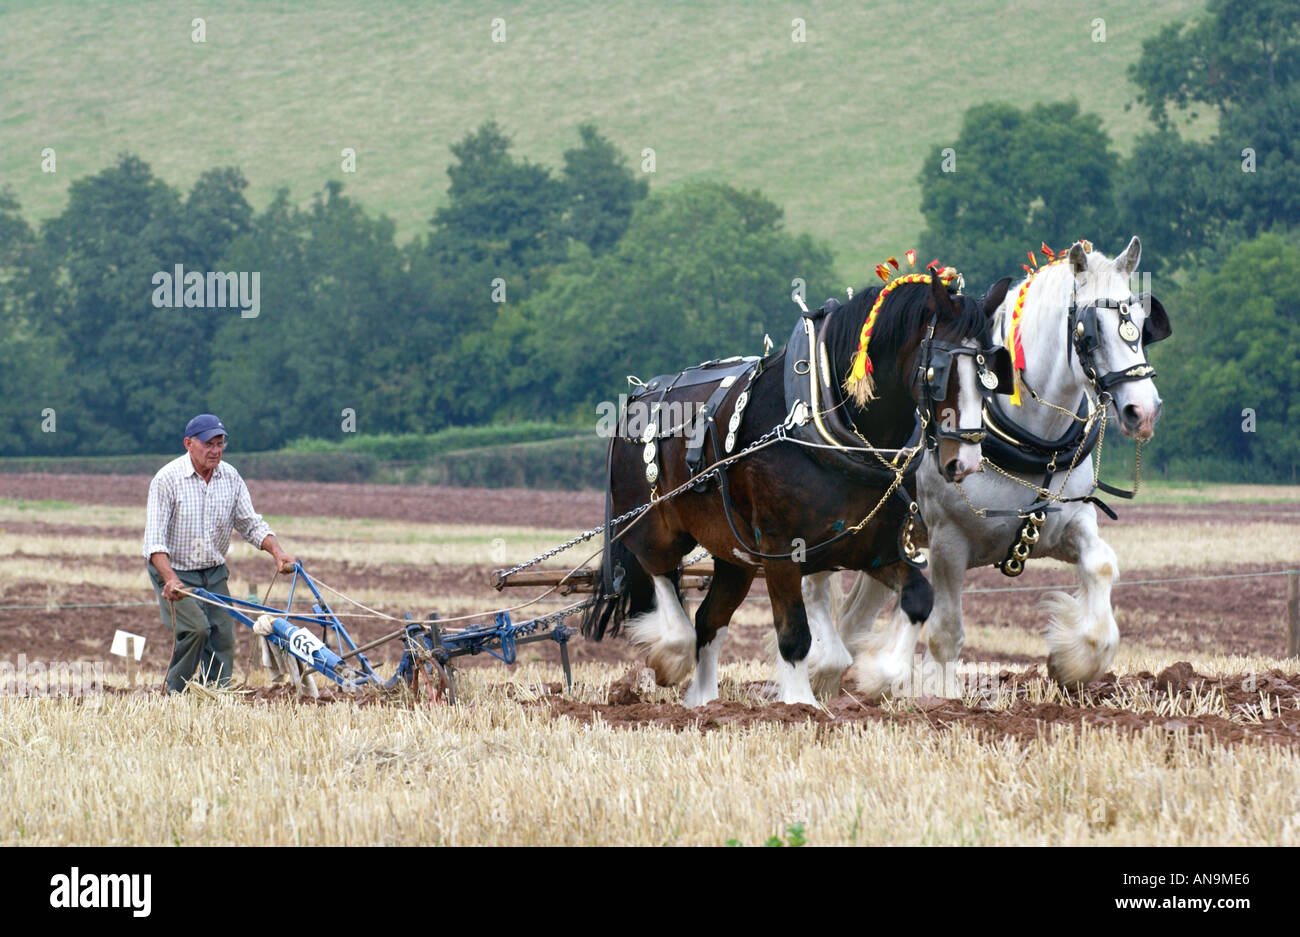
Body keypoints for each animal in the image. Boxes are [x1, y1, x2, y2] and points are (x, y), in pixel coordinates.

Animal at [587, 270, 1013, 701]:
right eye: (939, 372)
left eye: (992, 376)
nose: (967, 461)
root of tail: (638, 395)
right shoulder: (781, 550)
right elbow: (794, 634)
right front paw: (799, 702)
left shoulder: (873, 549)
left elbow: (919, 600)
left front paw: (878, 674)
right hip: (653, 526)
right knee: (660, 574)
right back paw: (669, 655)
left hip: (736, 557)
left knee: (710, 619)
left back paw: (703, 700)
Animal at [800, 241, 1180, 696]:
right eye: (1090, 331)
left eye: (1140, 323)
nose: (1144, 410)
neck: (1032, 441)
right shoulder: (948, 544)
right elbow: (946, 632)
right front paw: (939, 694)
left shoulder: (1066, 526)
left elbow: (1101, 566)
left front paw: (1074, 663)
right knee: (813, 587)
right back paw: (822, 666)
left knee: (854, 619)